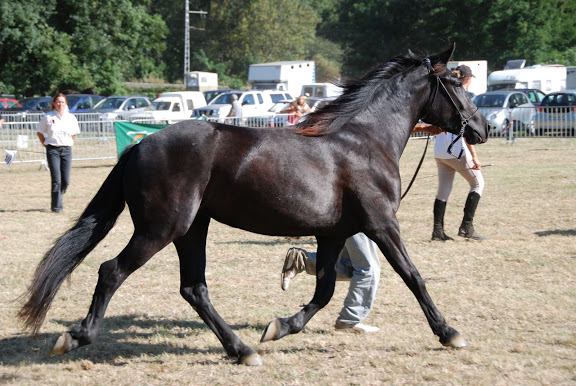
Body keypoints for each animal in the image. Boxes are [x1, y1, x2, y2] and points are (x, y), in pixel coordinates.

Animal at [18, 45, 488, 364]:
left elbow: (324, 291)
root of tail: (139, 145)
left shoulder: (333, 233)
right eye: (457, 83)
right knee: (111, 271)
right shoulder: (381, 224)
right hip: (161, 228)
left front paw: (279, 327)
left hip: (193, 229)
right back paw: (75, 337)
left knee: (194, 288)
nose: (481, 128)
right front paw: (449, 332)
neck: (365, 141)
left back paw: (242, 349)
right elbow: (413, 277)